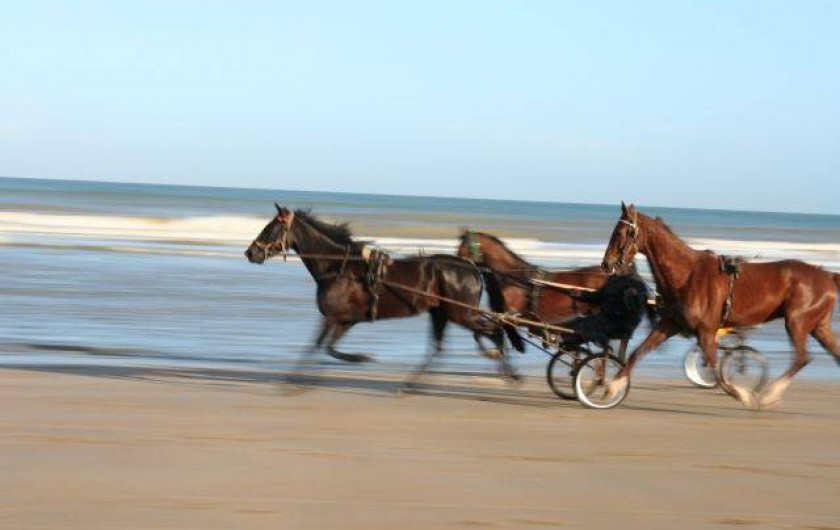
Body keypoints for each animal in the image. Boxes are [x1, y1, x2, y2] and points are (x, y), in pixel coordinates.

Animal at [245, 204, 524, 386]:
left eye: (269, 229)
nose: (250, 252)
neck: (340, 268)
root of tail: (473, 267)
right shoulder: (345, 319)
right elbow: (328, 347)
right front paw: (356, 358)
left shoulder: (333, 317)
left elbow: (319, 346)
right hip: (441, 313)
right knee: (440, 347)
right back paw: (412, 384)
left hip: (461, 313)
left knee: (495, 331)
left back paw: (507, 370)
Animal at [601, 202, 840, 409]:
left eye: (620, 232)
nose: (606, 264)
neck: (687, 276)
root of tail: (826, 275)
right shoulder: (669, 325)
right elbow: (638, 352)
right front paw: (611, 387)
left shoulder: (706, 331)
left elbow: (716, 371)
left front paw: (743, 395)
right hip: (819, 327)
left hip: (797, 322)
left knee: (801, 358)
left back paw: (769, 395)